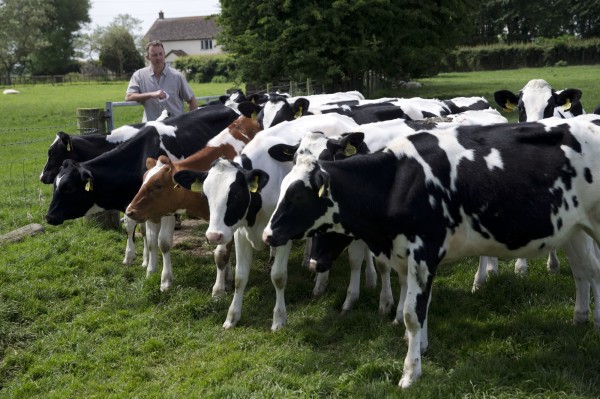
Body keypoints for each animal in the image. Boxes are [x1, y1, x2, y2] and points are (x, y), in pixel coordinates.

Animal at [46, 104, 239, 290]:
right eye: (56, 186)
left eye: (68, 188)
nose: (49, 216)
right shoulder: (139, 205)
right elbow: (143, 234)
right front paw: (146, 265)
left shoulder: (163, 206)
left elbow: (161, 241)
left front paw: (164, 279)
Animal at [264, 114, 600, 390]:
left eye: (297, 196)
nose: (268, 234)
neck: (396, 181)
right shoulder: (410, 256)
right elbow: (420, 307)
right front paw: (420, 347)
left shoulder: (422, 253)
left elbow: (412, 314)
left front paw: (411, 373)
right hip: (574, 230)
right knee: (586, 271)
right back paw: (584, 318)